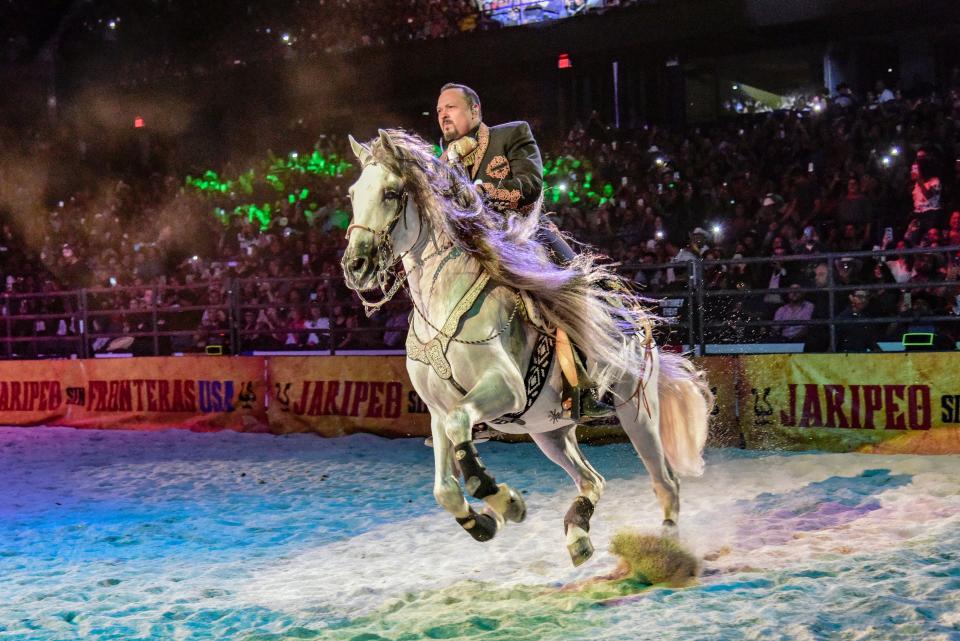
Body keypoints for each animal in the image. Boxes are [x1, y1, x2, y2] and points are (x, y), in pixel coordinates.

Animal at [342, 130, 708, 564]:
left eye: (392, 192)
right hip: (549, 432)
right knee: (593, 480)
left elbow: (461, 427)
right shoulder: (436, 410)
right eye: (353, 193)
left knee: (666, 482)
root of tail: (635, 324)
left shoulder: (506, 387)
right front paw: (492, 516)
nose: (355, 266)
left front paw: (499, 497)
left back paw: (665, 548)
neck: (444, 301)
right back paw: (577, 533)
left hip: (636, 412)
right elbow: (444, 488)